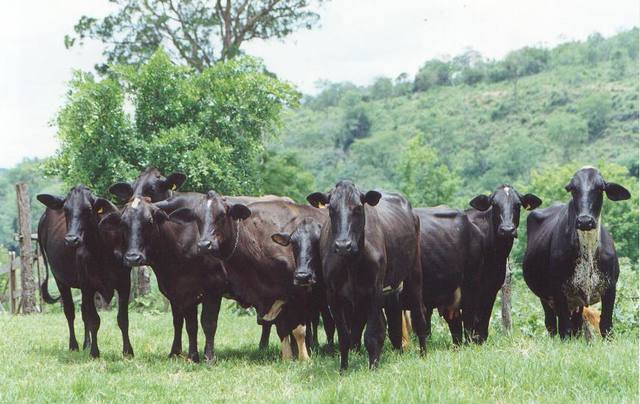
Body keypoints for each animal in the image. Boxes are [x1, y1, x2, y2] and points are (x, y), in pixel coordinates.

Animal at [37, 185, 132, 356]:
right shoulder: (87, 285)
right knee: (70, 312)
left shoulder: (124, 283)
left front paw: (128, 351)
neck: (102, 249)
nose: (71, 239)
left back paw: (86, 344)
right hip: (60, 279)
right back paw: (74, 345)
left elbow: (123, 319)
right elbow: (94, 320)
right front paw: (95, 352)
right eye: (66, 210)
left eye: (88, 209)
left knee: (83, 312)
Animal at [304, 181, 424, 370]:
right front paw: (343, 368)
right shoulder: (333, 295)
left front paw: (373, 367)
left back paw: (423, 354)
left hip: (414, 272)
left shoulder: (375, 290)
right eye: (331, 209)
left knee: (418, 316)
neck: (351, 263)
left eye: (359, 208)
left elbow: (372, 334)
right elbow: (344, 336)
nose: (343, 245)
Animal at [462, 185, 544, 342]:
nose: (507, 229)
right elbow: (469, 321)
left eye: (518, 204)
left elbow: (483, 321)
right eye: (494, 204)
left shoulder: (492, 287)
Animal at [524, 166, 632, 338]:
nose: (585, 221)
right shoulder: (559, 291)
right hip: (545, 297)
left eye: (600, 188)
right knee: (551, 325)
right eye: (573, 189)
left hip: (577, 302)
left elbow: (606, 326)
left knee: (576, 325)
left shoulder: (610, 289)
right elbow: (564, 329)